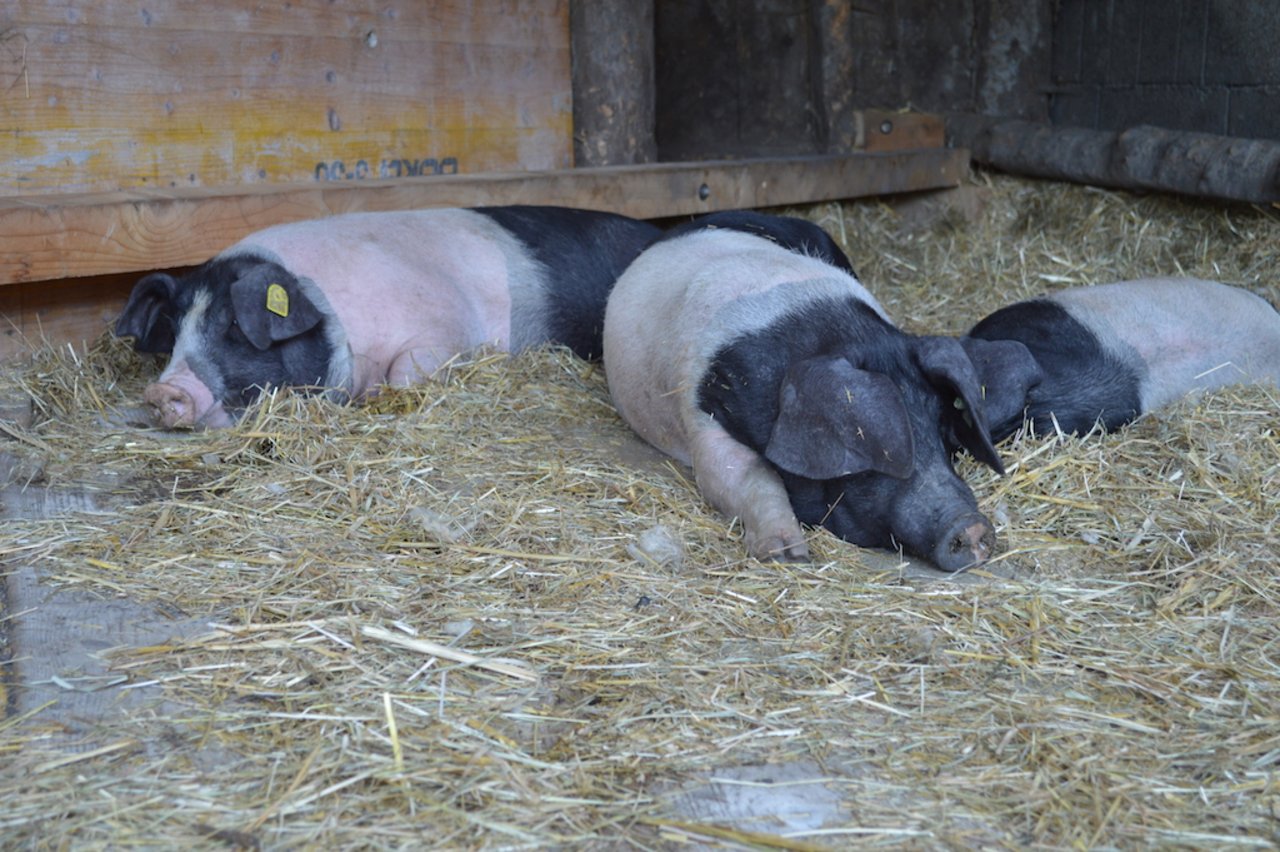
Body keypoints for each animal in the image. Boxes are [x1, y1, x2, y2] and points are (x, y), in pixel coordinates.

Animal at [115, 203, 665, 427]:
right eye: (173, 331)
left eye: (234, 326)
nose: (163, 391)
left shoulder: (444, 330)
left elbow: (406, 377)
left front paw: (381, 395)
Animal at [599, 211, 1008, 570]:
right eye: (873, 454)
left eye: (943, 432)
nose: (971, 525)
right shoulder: (703, 412)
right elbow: (740, 473)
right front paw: (787, 554)